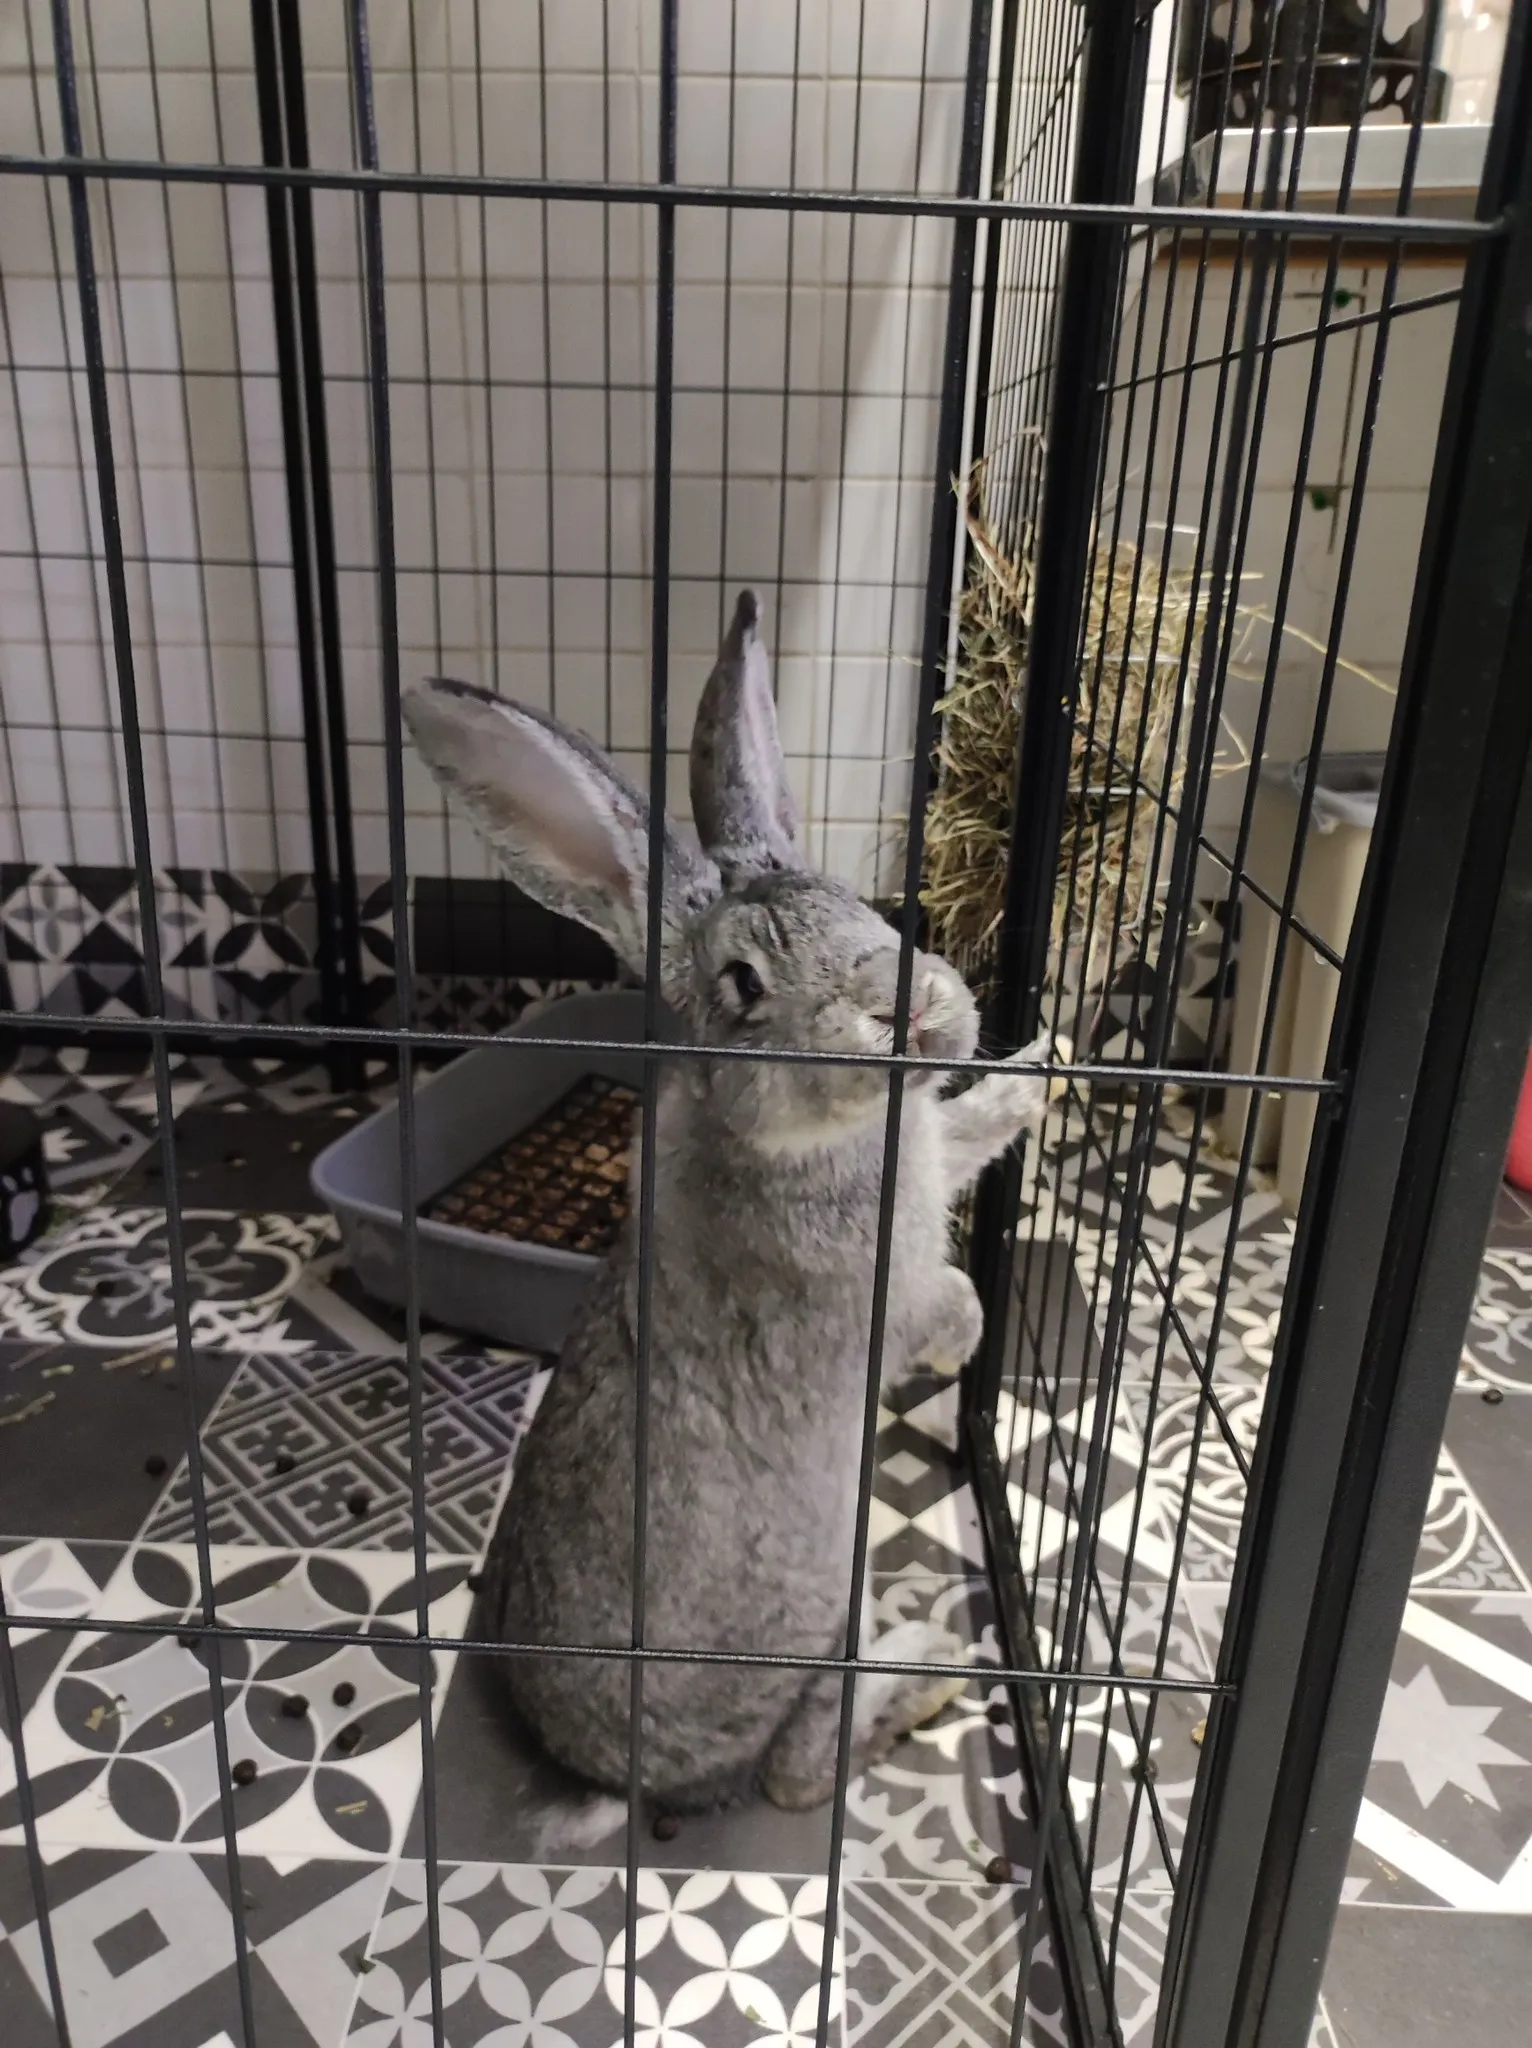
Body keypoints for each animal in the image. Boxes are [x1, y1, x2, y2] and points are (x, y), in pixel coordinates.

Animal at [402, 590, 1051, 1832]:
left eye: (859, 906)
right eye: (743, 984)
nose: (913, 1006)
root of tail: (613, 1778)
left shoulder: (927, 1151)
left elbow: (970, 1126)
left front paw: (1051, 1056)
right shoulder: (871, 1293)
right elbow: (942, 1297)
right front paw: (960, 1351)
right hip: (822, 1606)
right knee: (796, 1773)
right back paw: (927, 1670)